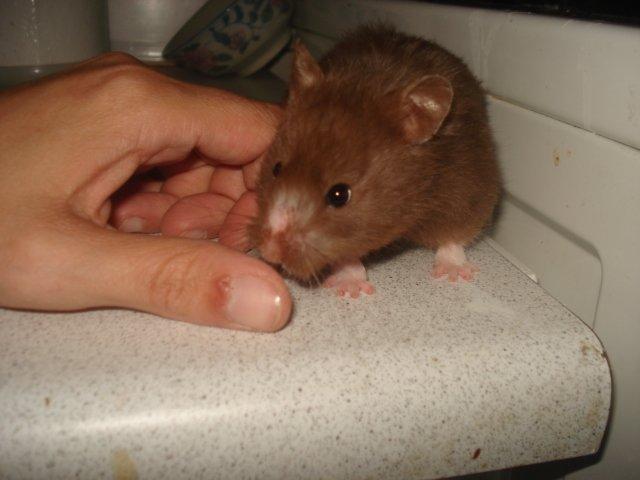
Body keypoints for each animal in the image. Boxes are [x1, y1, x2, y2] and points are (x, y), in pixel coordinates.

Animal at [250, 25, 501, 298]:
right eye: (276, 169)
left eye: (339, 194)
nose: (269, 253)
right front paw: (350, 288)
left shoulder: (469, 188)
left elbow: (455, 236)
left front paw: (454, 274)